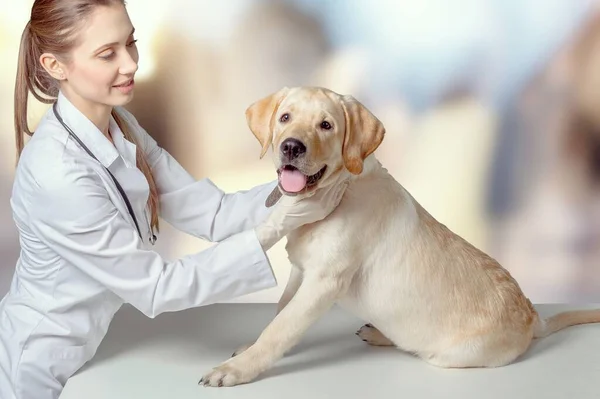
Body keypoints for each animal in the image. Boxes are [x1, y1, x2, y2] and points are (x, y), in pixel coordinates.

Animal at [198, 86, 600, 388]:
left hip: (448, 355)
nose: (291, 147)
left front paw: (237, 369)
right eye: (285, 118)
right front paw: (250, 348)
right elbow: (279, 312)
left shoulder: (323, 282)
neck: (341, 188)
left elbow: (279, 328)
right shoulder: (300, 271)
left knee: (418, 347)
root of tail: (532, 316)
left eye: (326, 125)